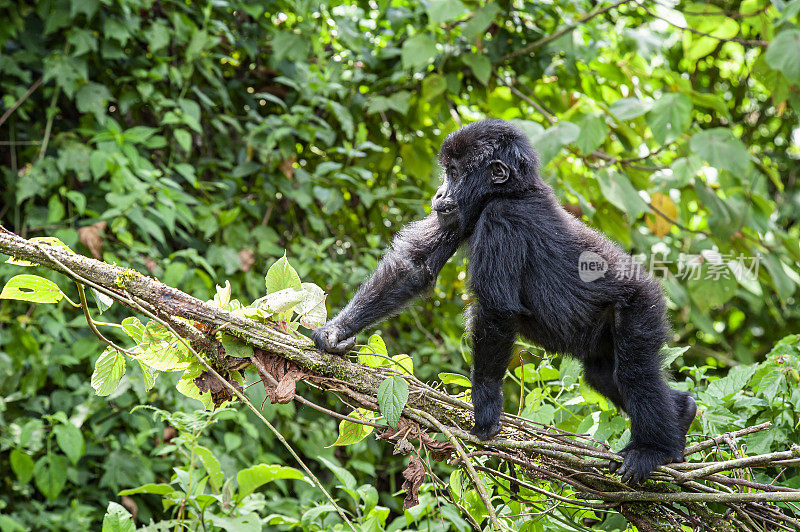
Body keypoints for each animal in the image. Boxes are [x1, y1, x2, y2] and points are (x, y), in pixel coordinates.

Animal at [310, 119, 696, 482]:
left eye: (454, 174)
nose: (439, 192)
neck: (512, 191)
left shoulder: (501, 219)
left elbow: (495, 312)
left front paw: (485, 405)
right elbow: (413, 267)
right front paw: (335, 332)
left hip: (641, 305)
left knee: (635, 373)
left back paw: (655, 448)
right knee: (604, 374)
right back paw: (682, 414)